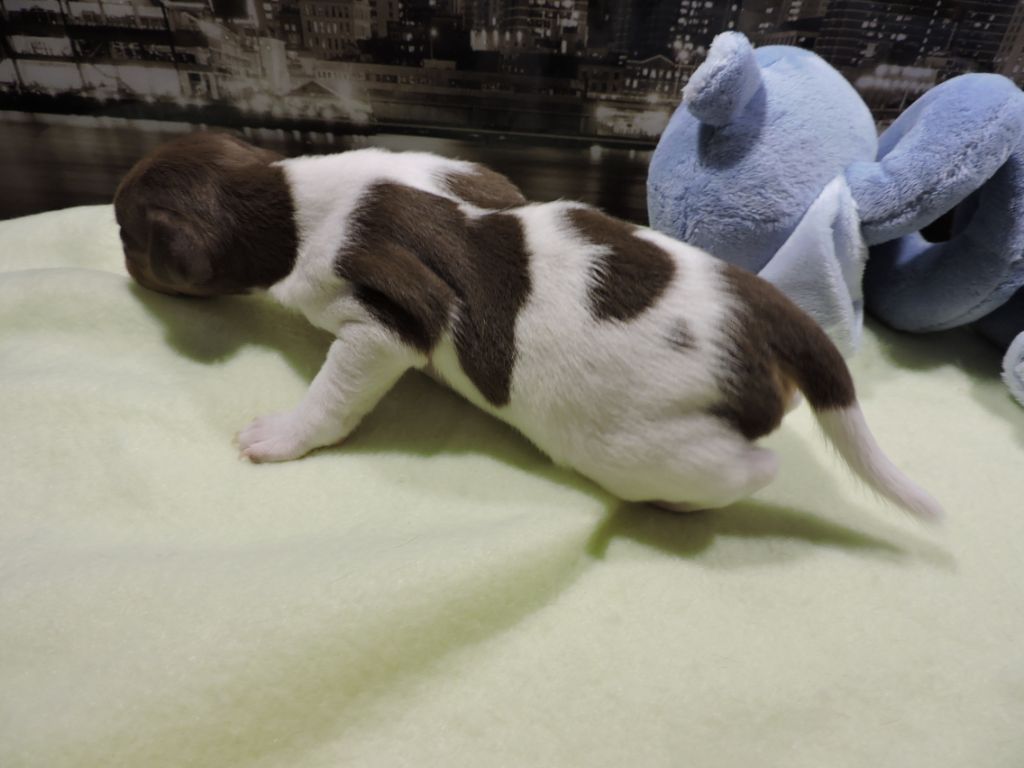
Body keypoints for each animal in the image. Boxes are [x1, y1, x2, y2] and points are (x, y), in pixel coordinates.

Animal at [114, 132, 942, 519]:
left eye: (125, 233)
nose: (119, 262)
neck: (289, 197)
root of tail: (772, 318)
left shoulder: (380, 324)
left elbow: (336, 391)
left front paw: (281, 435)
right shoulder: (439, 168)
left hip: (645, 449)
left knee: (747, 471)